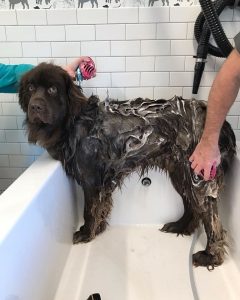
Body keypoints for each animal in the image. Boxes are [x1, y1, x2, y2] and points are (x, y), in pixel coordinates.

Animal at [18, 63, 236, 270]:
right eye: (31, 88)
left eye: (53, 89)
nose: (35, 107)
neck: (74, 121)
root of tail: (222, 124)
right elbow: (101, 209)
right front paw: (99, 229)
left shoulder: (91, 180)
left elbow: (89, 211)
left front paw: (87, 233)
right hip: (180, 174)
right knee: (191, 206)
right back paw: (180, 226)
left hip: (199, 177)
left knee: (213, 221)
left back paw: (211, 255)